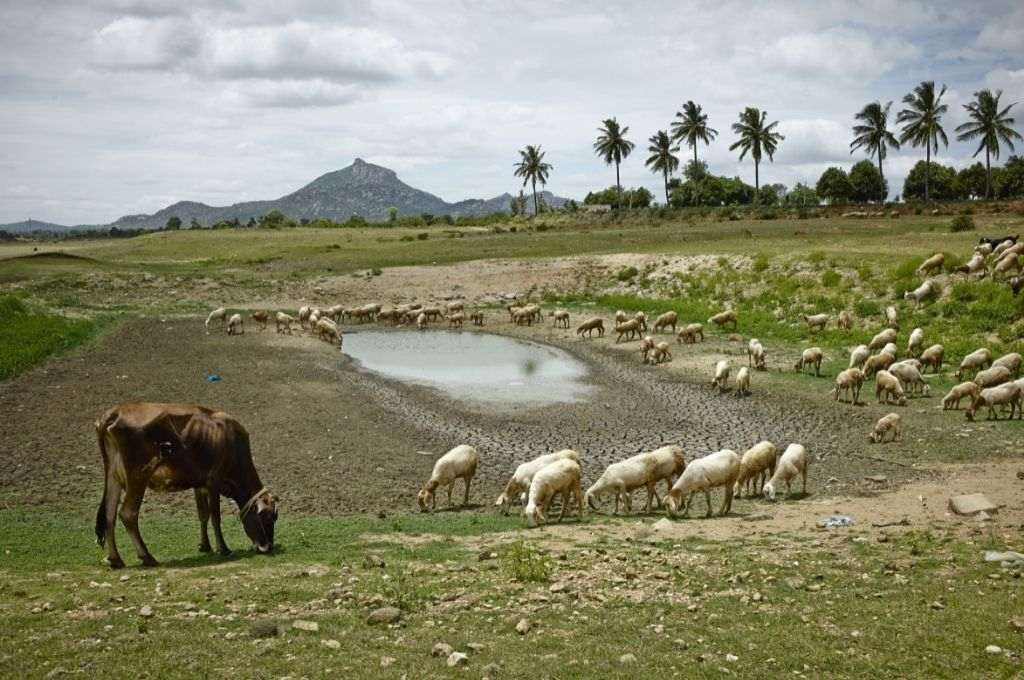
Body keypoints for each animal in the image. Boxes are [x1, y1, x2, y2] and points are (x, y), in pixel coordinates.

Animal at [94, 403, 278, 569]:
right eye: (267, 517)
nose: (267, 547)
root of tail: (115, 412)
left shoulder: (200, 484)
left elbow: (203, 515)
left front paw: (205, 546)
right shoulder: (214, 481)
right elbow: (215, 517)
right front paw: (223, 548)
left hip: (113, 476)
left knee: (109, 516)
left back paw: (115, 559)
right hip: (138, 477)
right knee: (127, 514)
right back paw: (147, 557)